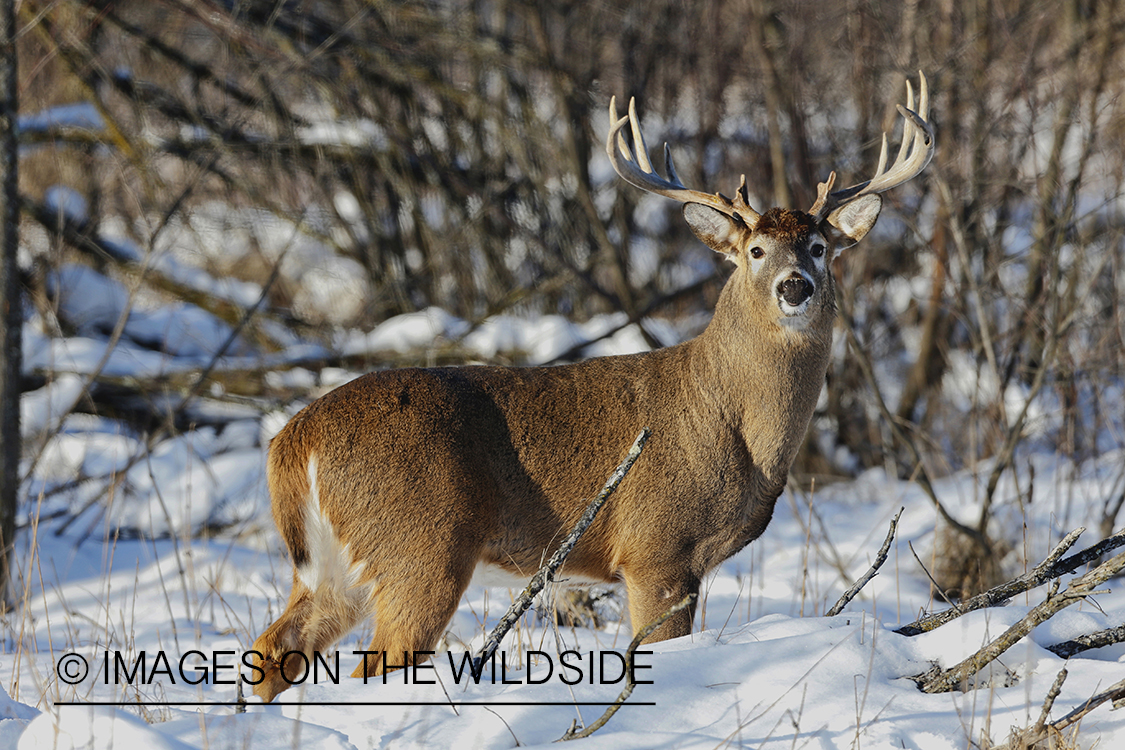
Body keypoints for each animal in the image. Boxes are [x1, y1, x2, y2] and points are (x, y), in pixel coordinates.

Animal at [250, 73, 936, 701]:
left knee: (274, 649)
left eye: (819, 246)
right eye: (756, 250)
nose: (796, 285)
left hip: (336, 567)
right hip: (420, 546)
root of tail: (294, 440)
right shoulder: (656, 549)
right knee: (372, 665)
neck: (738, 430)